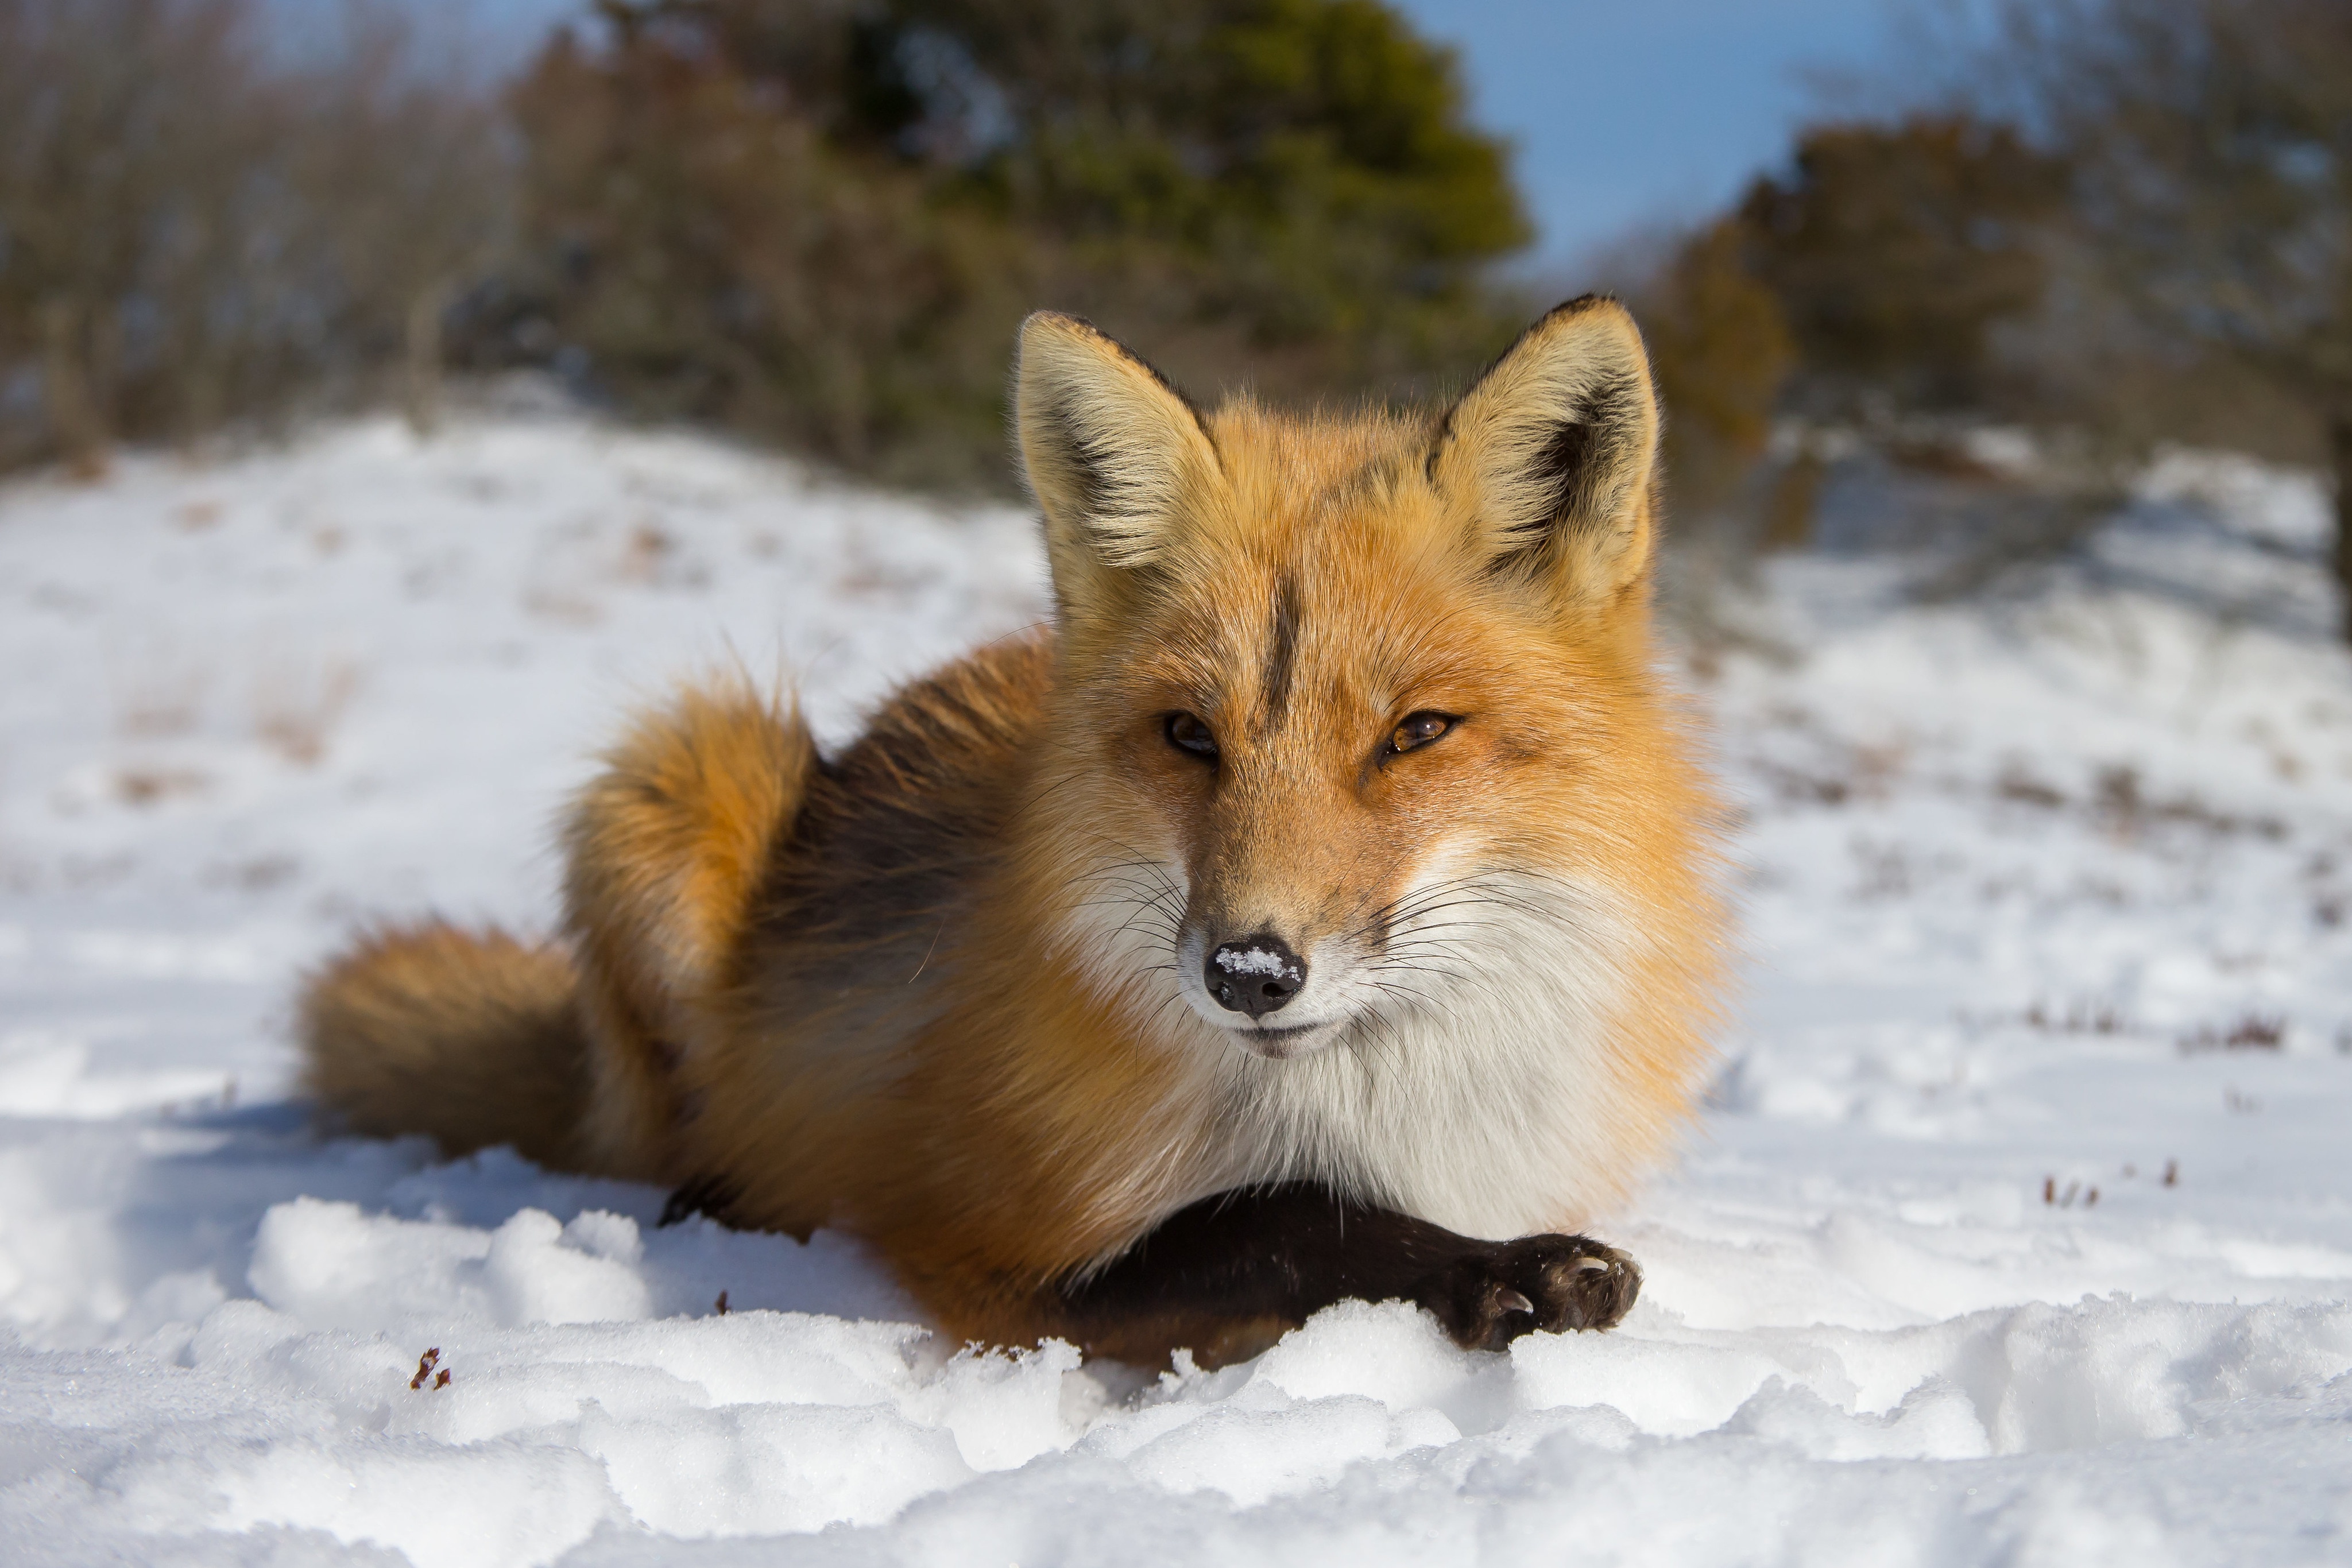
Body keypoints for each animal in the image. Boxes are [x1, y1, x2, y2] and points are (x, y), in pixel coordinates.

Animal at [299, 297, 1731, 1373]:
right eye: (1189, 736)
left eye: (1416, 734)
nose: (1247, 973)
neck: (1369, 1107)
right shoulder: (980, 1251)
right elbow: (1276, 1215)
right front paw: (1494, 1275)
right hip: (685, 768)